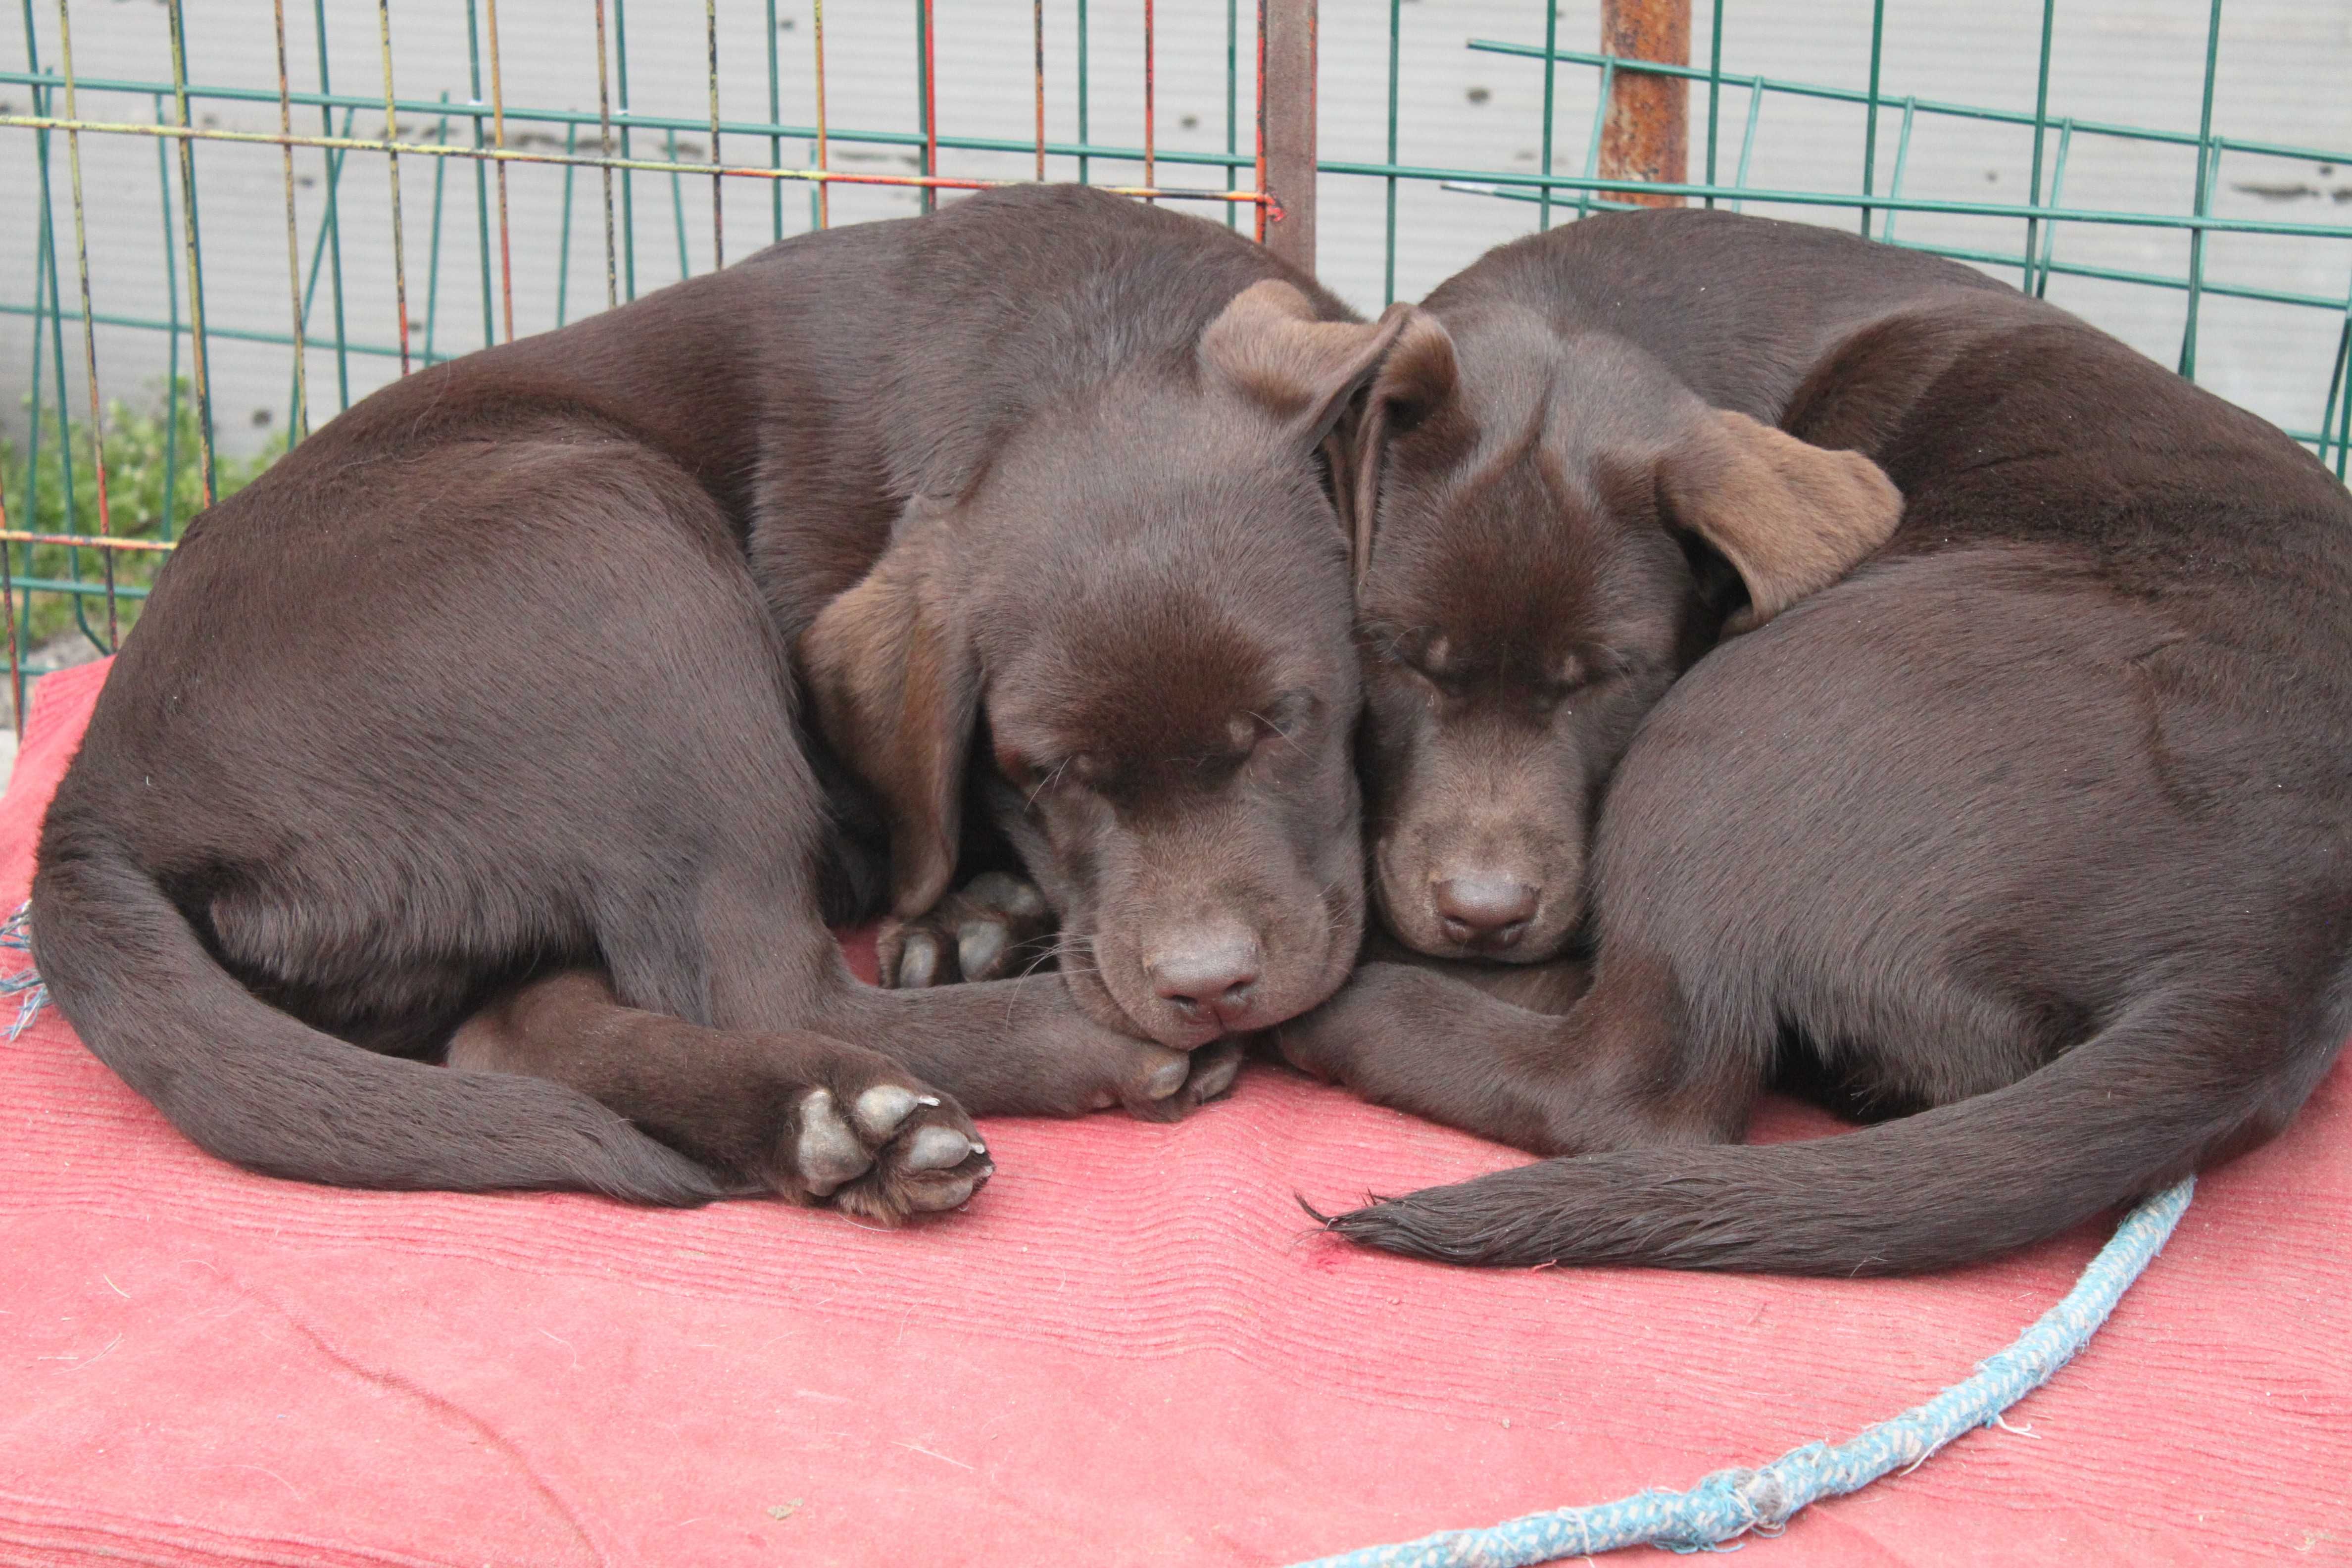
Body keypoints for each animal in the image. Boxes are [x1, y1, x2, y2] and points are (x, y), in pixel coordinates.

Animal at [1279, 211, 2352, 1278]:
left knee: (1634, 1085)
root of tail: (2266, 956)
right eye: (1395, 653)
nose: (1485, 912)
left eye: (1610, 676)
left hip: (1739, 714)